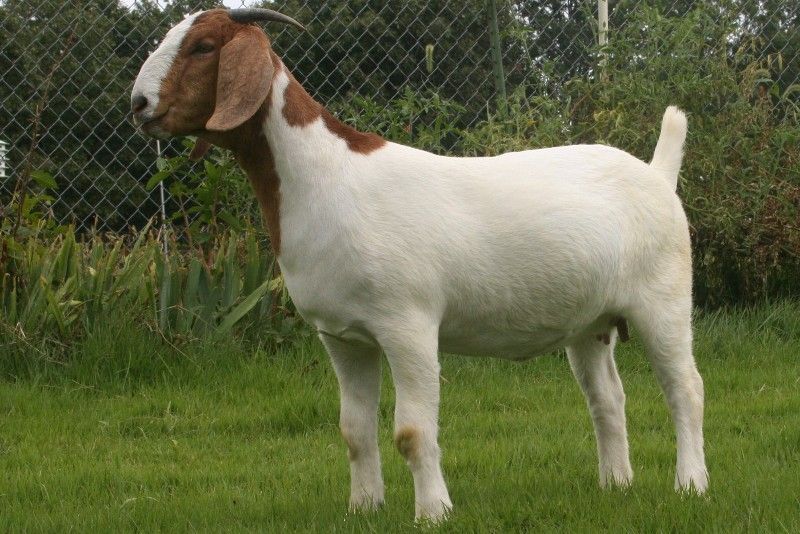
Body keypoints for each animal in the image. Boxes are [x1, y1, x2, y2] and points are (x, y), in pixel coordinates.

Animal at [131, 8, 708, 522]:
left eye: (204, 46)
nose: (139, 103)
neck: (324, 177)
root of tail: (657, 174)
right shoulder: (341, 336)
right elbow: (354, 430)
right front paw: (363, 507)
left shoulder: (406, 325)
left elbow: (412, 431)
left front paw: (433, 512)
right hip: (591, 323)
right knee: (608, 399)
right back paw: (616, 484)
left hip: (664, 298)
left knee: (685, 388)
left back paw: (690, 485)